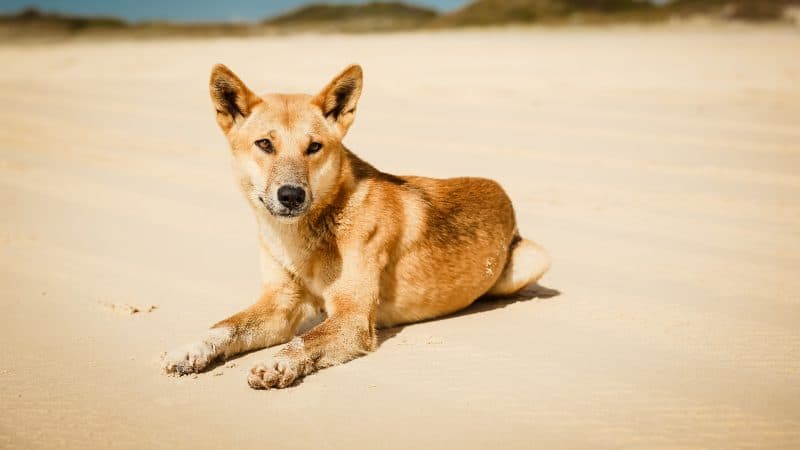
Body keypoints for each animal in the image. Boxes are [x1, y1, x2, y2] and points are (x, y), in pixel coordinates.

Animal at [162, 64, 552, 390]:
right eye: (264, 144)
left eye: (313, 147)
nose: (291, 195)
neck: (305, 235)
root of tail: (500, 190)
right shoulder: (279, 305)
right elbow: (226, 327)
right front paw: (191, 348)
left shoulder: (351, 316)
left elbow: (304, 340)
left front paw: (277, 363)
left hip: (534, 258)